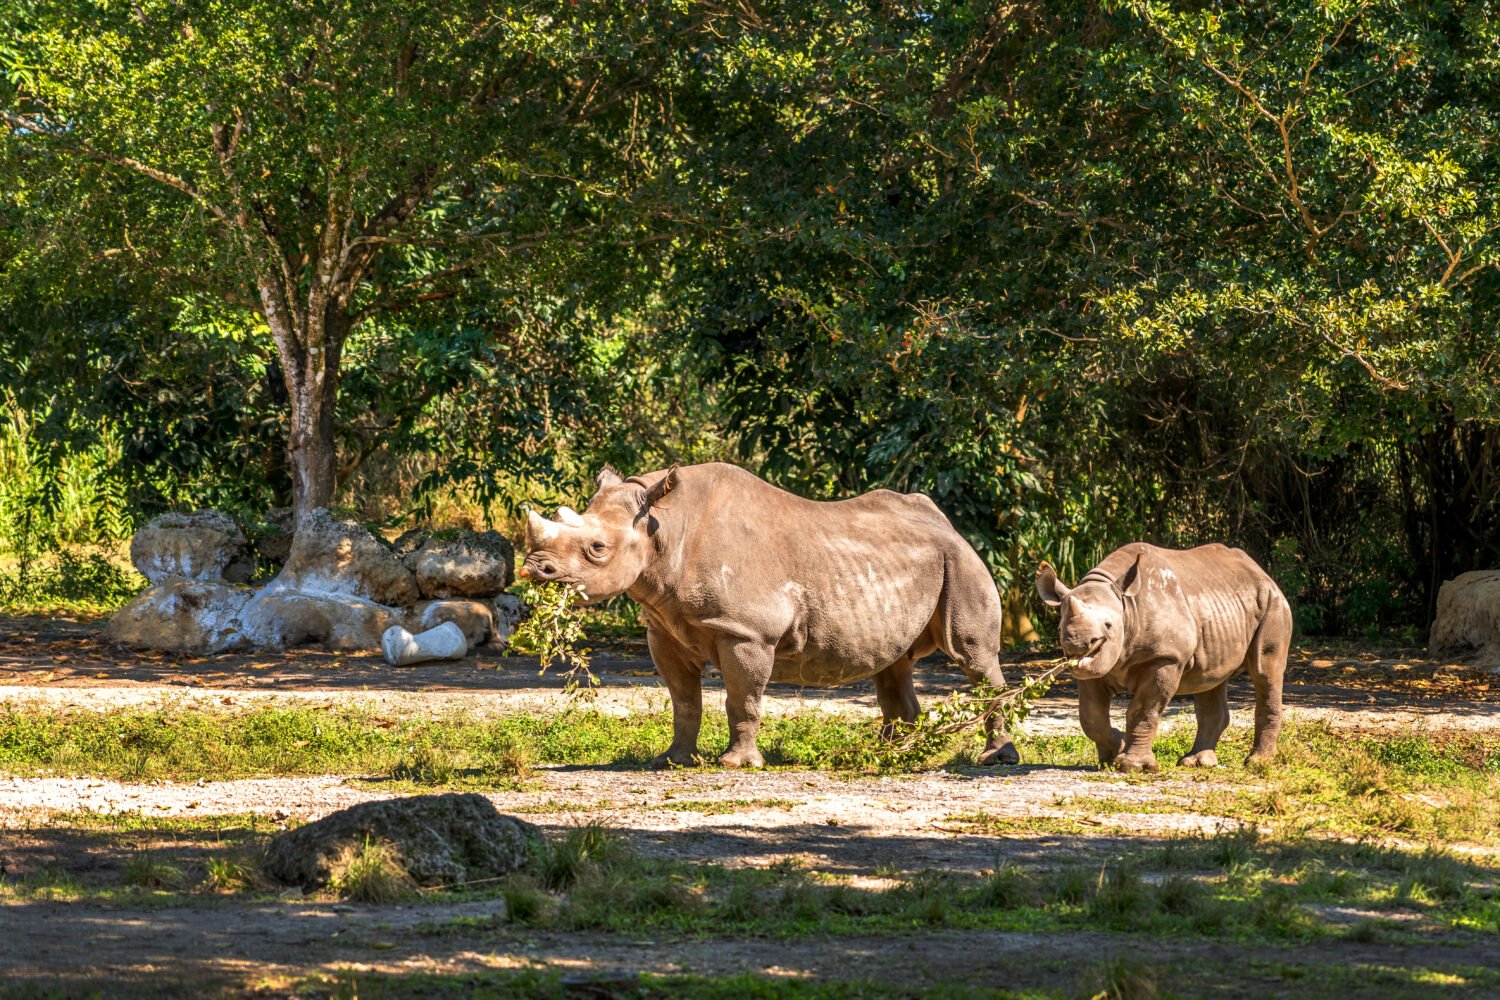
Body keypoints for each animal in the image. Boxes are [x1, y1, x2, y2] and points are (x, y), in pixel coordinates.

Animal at [519, 462, 1018, 769]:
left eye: (597, 548)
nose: (534, 568)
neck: (665, 525)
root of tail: (949, 525)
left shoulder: (747, 630)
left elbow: (742, 699)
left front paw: (735, 764)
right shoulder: (663, 628)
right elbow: (684, 700)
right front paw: (673, 760)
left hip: (960, 562)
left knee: (973, 656)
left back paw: (995, 758)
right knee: (894, 665)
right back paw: (890, 756)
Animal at [1035, 543, 1290, 773]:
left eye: (1109, 626)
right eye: (1060, 629)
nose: (1078, 643)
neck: (1127, 607)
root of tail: (1261, 573)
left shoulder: (1165, 658)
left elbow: (1143, 711)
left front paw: (1133, 766)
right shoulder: (1096, 667)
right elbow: (1091, 716)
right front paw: (1113, 752)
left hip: (1273, 602)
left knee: (1265, 672)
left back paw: (1257, 764)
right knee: (1210, 679)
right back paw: (1196, 763)